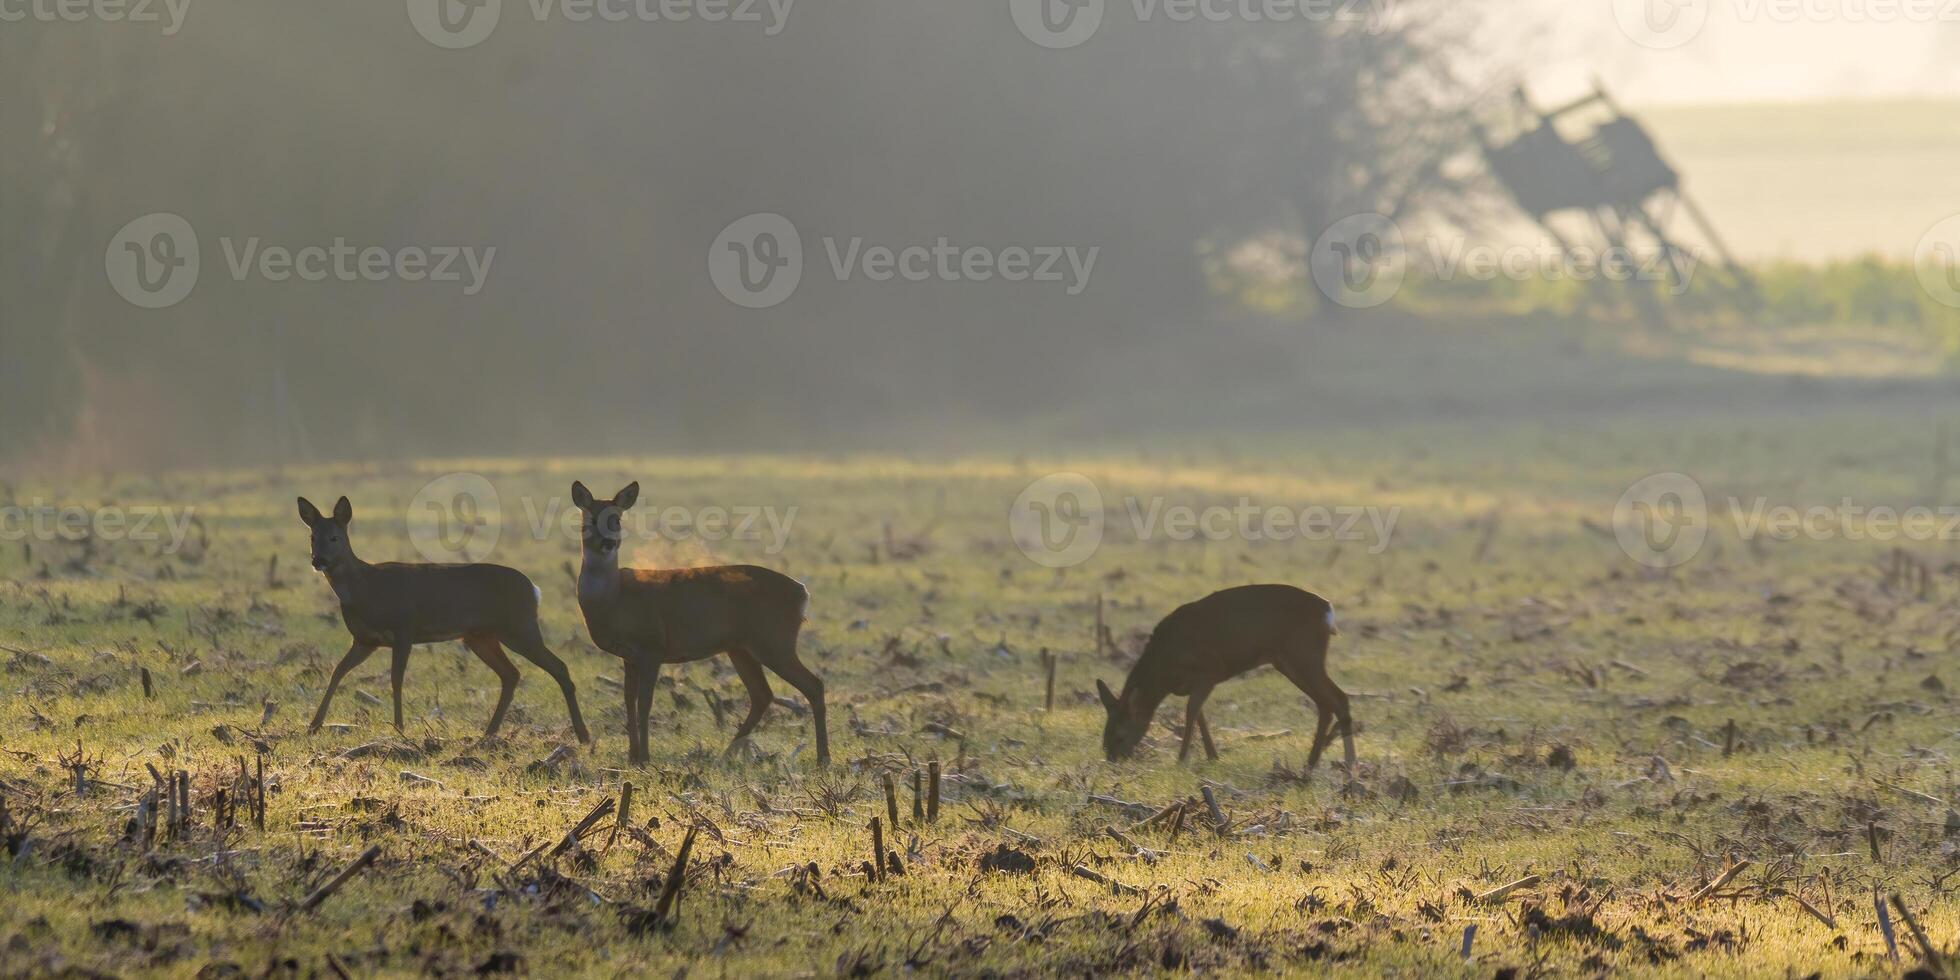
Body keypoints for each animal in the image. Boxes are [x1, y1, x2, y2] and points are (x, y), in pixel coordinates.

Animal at [295, 497, 588, 740]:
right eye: (312, 536)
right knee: (511, 674)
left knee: (558, 666)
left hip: (519, 626)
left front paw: (399, 727)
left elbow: (396, 678)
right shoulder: (364, 640)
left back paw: (583, 735)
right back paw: (488, 733)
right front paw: (314, 725)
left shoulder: (405, 627)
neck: (366, 589)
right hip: (480, 636)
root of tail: (534, 589)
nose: (318, 560)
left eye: (335, 537)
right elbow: (337, 672)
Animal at [568, 480, 827, 764]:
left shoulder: (653, 646)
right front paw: (632, 756)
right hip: (742, 647)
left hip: (775, 639)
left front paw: (645, 757)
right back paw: (726, 755)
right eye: (590, 519)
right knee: (762, 694)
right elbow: (628, 701)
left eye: (617, 519)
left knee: (813, 685)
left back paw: (822, 759)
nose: (608, 542)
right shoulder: (629, 656)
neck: (614, 600)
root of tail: (802, 592)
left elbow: (644, 703)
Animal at [1097, 580, 1356, 772]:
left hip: (1305, 654)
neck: (1164, 670)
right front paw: (1212, 757)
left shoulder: (1209, 670)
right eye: (1104, 736)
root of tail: (1327, 610)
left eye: (1120, 735)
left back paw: (1349, 763)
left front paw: (1182, 760)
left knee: (1338, 698)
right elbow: (1199, 714)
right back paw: (1311, 764)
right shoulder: (1196, 683)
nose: (1112, 761)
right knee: (1325, 703)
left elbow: (1191, 711)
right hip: (1288, 661)